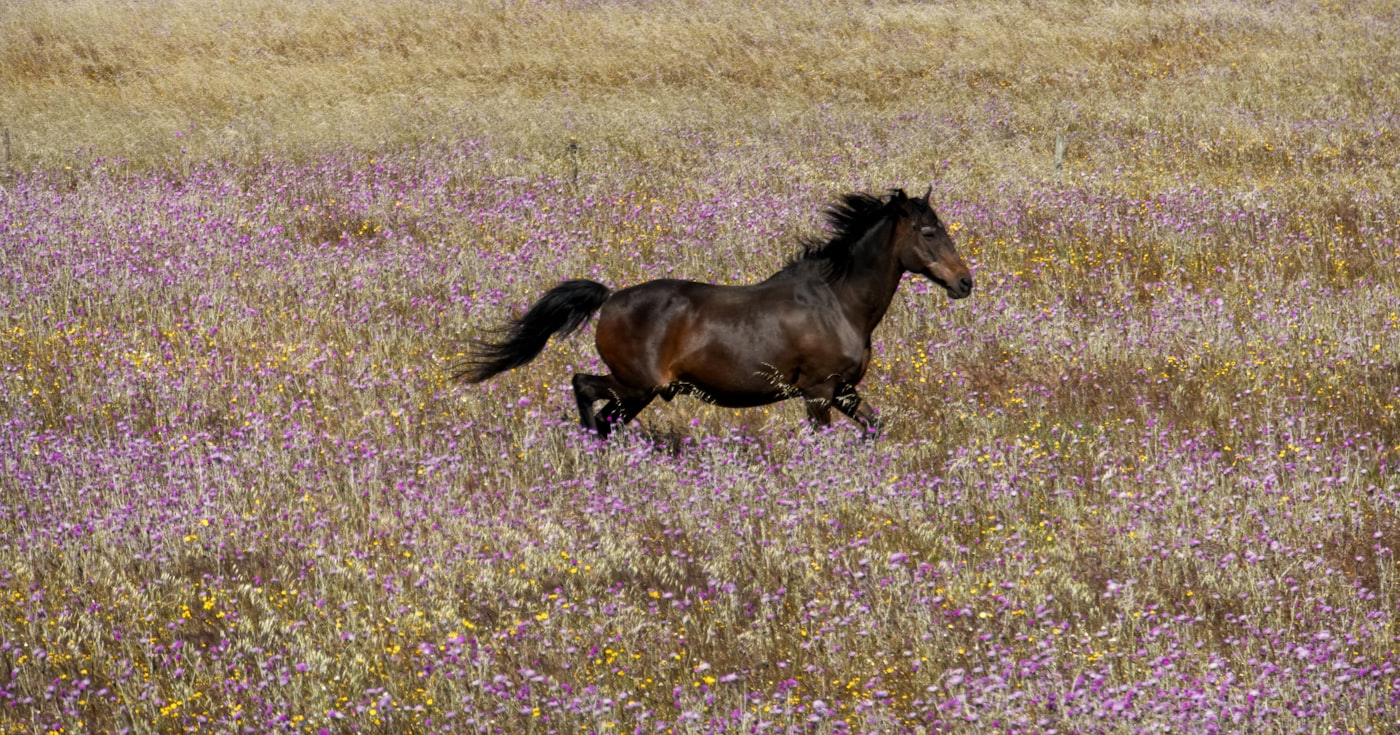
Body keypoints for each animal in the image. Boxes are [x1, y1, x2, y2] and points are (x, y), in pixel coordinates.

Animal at [453, 188, 973, 438]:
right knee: (584, 388)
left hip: (638, 393)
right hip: (638, 385)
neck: (838, 302)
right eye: (929, 232)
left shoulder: (844, 391)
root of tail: (611, 298)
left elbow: (874, 428)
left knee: (606, 418)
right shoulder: (818, 392)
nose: (965, 282)